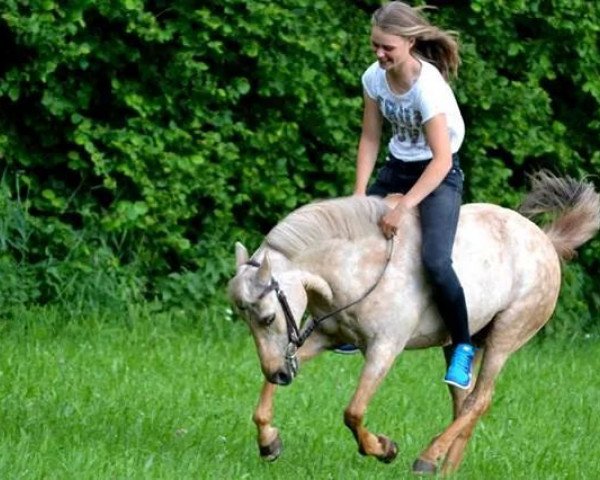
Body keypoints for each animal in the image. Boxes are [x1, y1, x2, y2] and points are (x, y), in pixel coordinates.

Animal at [226, 171, 600, 474]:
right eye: (245, 320)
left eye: (267, 317)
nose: (279, 373)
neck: (357, 266)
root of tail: (546, 241)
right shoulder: (324, 338)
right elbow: (265, 402)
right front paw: (269, 443)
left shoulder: (384, 349)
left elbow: (353, 412)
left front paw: (384, 449)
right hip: (460, 345)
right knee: (464, 403)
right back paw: (444, 468)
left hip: (505, 337)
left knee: (480, 400)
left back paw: (426, 458)